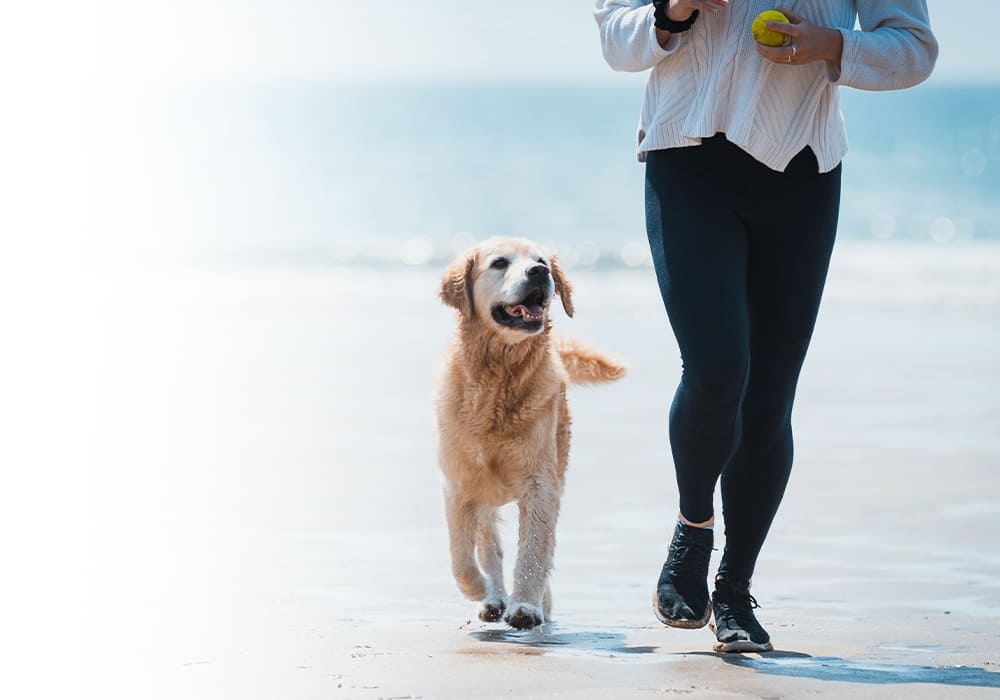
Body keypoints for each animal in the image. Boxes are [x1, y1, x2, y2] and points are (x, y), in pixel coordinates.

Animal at [432, 239, 620, 628]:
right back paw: (492, 597)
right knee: (488, 545)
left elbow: (534, 549)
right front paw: (481, 589)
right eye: (499, 263)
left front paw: (526, 606)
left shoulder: (540, 483)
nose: (539, 273)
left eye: (541, 261)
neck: (497, 379)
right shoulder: (457, 483)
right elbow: (461, 556)